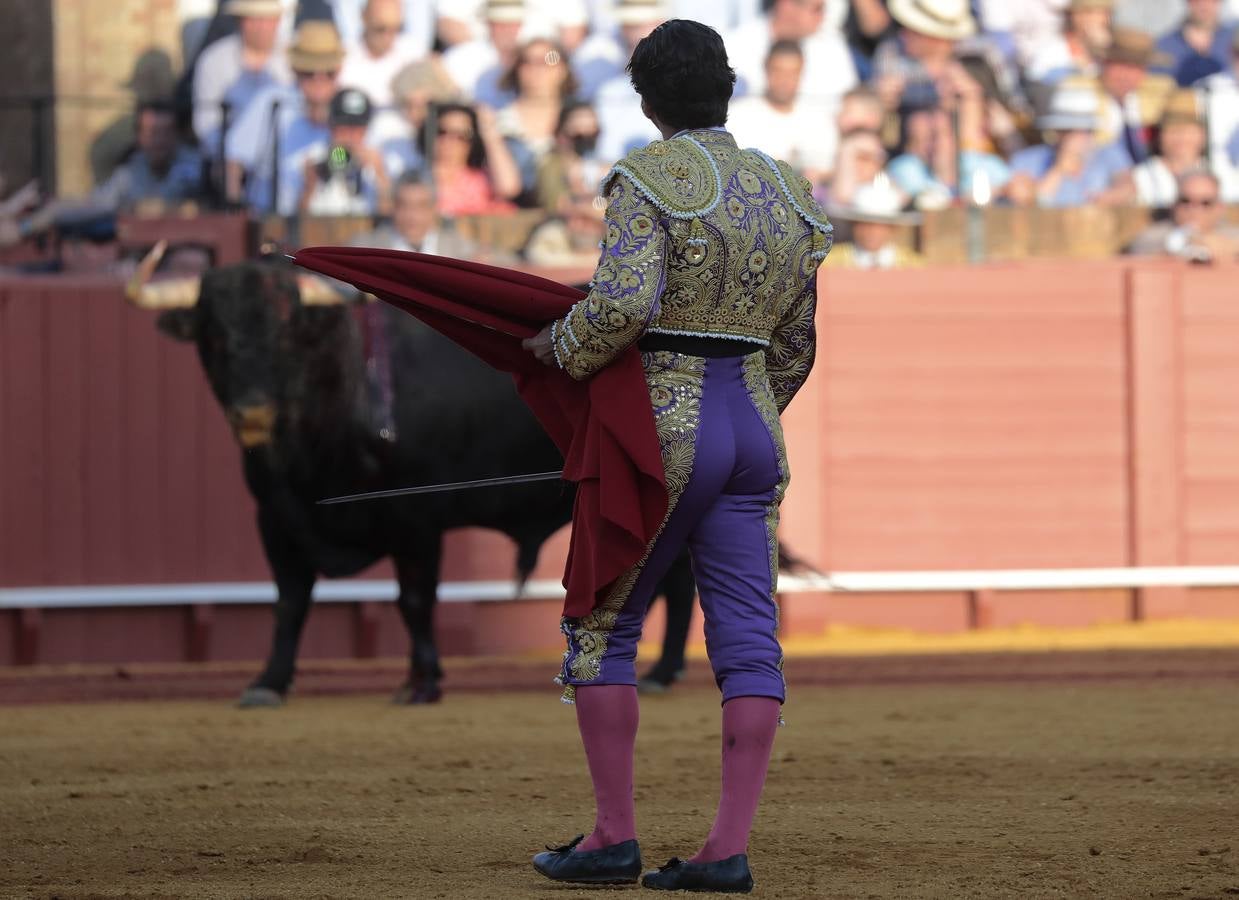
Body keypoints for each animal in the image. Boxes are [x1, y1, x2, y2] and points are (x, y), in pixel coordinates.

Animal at [149, 260, 698, 704]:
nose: (253, 414)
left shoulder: (415, 521)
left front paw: (423, 682)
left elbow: (414, 600)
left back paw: (661, 672)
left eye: (289, 333)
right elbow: (289, 601)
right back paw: (661, 671)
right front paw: (268, 682)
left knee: (674, 582)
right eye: (212, 334)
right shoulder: (275, 518)